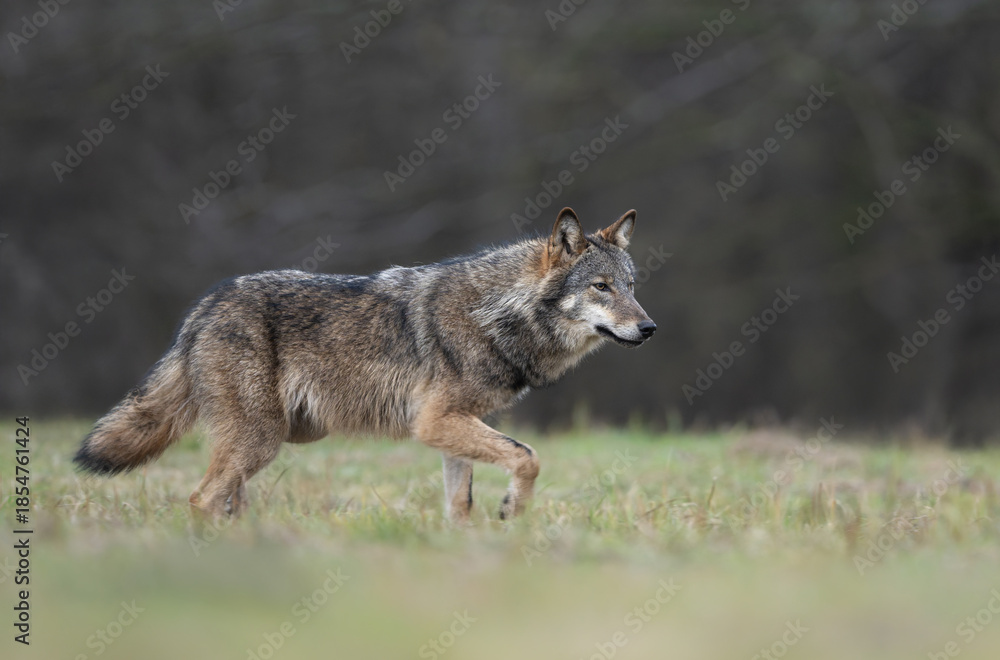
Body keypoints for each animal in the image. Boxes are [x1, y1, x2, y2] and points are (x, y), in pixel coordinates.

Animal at [74, 207, 656, 522]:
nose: (650, 328)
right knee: (199, 499)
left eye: (632, 286)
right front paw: (514, 511)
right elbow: (529, 457)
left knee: (224, 504)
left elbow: (460, 506)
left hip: (264, 443)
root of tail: (204, 305)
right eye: (600, 287)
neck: (496, 313)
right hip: (260, 441)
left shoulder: (454, 430)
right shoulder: (436, 423)